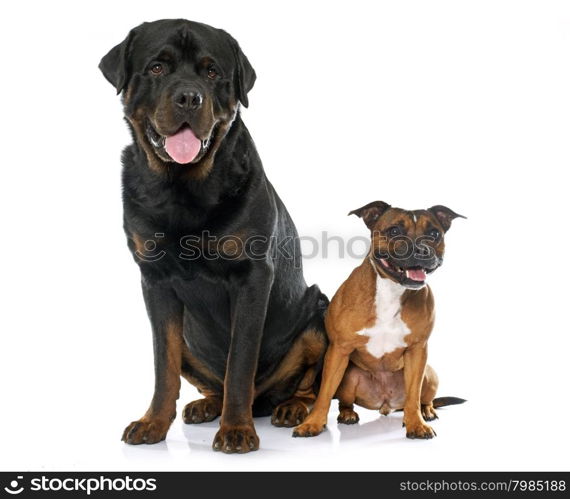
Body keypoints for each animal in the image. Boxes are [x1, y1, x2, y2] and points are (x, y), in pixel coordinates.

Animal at [100, 19, 326, 454]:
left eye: (211, 72)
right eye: (156, 68)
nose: (189, 97)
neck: (182, 188)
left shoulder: (252, 277)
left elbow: (240, 362)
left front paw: (236, 429)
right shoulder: (154, 280)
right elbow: (163, 363)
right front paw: (153, 422)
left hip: (316, 313)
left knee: (306, 384)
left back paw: (291, 407)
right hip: (191, 338)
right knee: (201, 376)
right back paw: (206, 406)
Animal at [292, 201, 462, 440]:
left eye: (434, 233)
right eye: (394, 231)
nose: (422, 249)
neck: (391, 289)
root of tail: (385, 404)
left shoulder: (418, 350)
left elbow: (413, 394)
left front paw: (416, 425)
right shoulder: (339, 349)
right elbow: (325, 392)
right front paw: (313, 423)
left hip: (429, 373)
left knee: (421, 398)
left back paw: (426, 412)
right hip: (348, 376)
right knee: (344, 401)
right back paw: (347, 414)